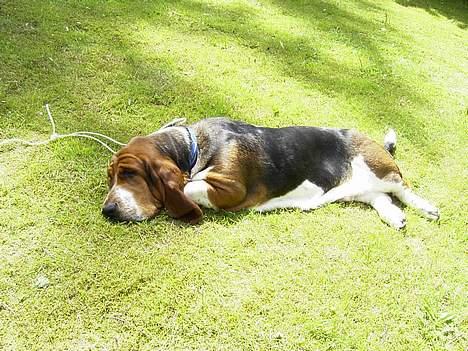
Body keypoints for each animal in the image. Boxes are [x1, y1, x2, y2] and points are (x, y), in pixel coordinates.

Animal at [101, 117, 438, 230]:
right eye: (110, 177)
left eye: (129, 174)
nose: (107, 210)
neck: (194, 146)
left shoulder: (231, 188)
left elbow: (188, 187)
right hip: (357, 190)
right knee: (382, 199)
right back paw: (394, 217)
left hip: (378, 167)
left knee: (402, 186)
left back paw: (427, 208)